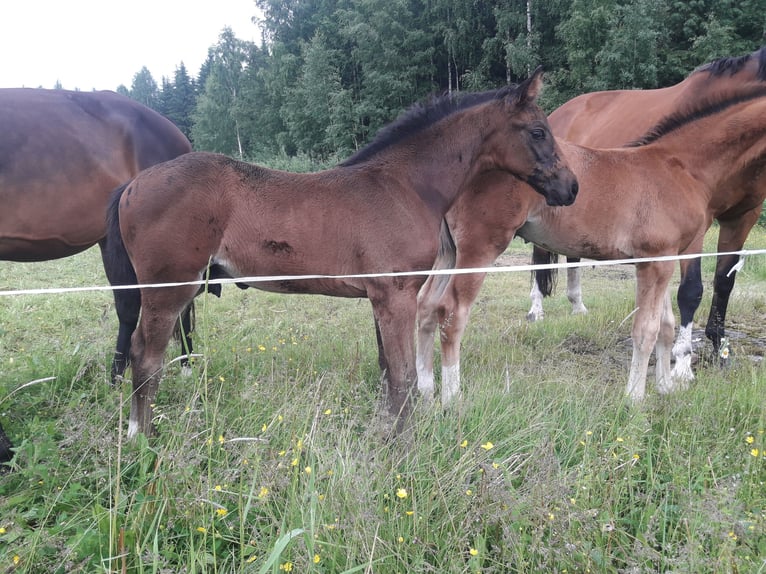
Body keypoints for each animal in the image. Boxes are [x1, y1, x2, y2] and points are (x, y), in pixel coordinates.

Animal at [102, 69, 578, 439]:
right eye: (538, 132)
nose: (570, 188)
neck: (406, 186)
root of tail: (133, 184)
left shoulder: (381, 298)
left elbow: (387, 370)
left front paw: (385, 431)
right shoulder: (396, 295)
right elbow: (403, 376)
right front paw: (403, 447)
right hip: (169, 290)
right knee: (146, 357)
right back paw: (141, 439)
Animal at [416, 85, 766, 405]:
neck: (680, 167)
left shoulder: (663, 259)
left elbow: (665, 326)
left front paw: (665, 388)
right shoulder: (654, 261)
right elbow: (645, 329)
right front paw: (634, 399)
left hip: (450, 252)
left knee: (426, 304)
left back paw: (425, 388)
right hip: (480, 247)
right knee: (452, 312)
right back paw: (452, 399)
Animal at [528, 46, 766, 370]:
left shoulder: (742, 217)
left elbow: (723, 281)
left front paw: (719, 348)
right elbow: (691, 290)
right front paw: (681, 359)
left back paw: (578, 306)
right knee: (540, 256)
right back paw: (536, 310)